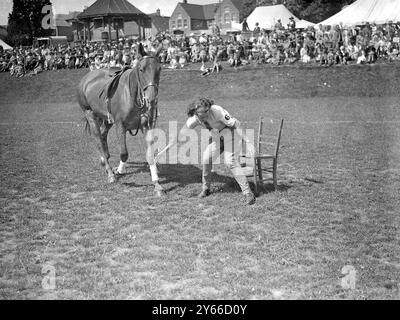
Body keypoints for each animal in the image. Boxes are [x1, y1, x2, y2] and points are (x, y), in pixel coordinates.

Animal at [76, 42, 166, 198]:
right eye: (141, 69)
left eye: (159, 69)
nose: (151, 98)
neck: (134, 95)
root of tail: (87, 78)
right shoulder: (120, 125)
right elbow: (124, 153)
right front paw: (119, 170)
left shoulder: (146, 126)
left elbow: (150, 155)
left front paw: (157, 184)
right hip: (90, 114)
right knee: (99, 139)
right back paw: (110, 173)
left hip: (107, 119)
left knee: (103, 135)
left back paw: (104, 160)